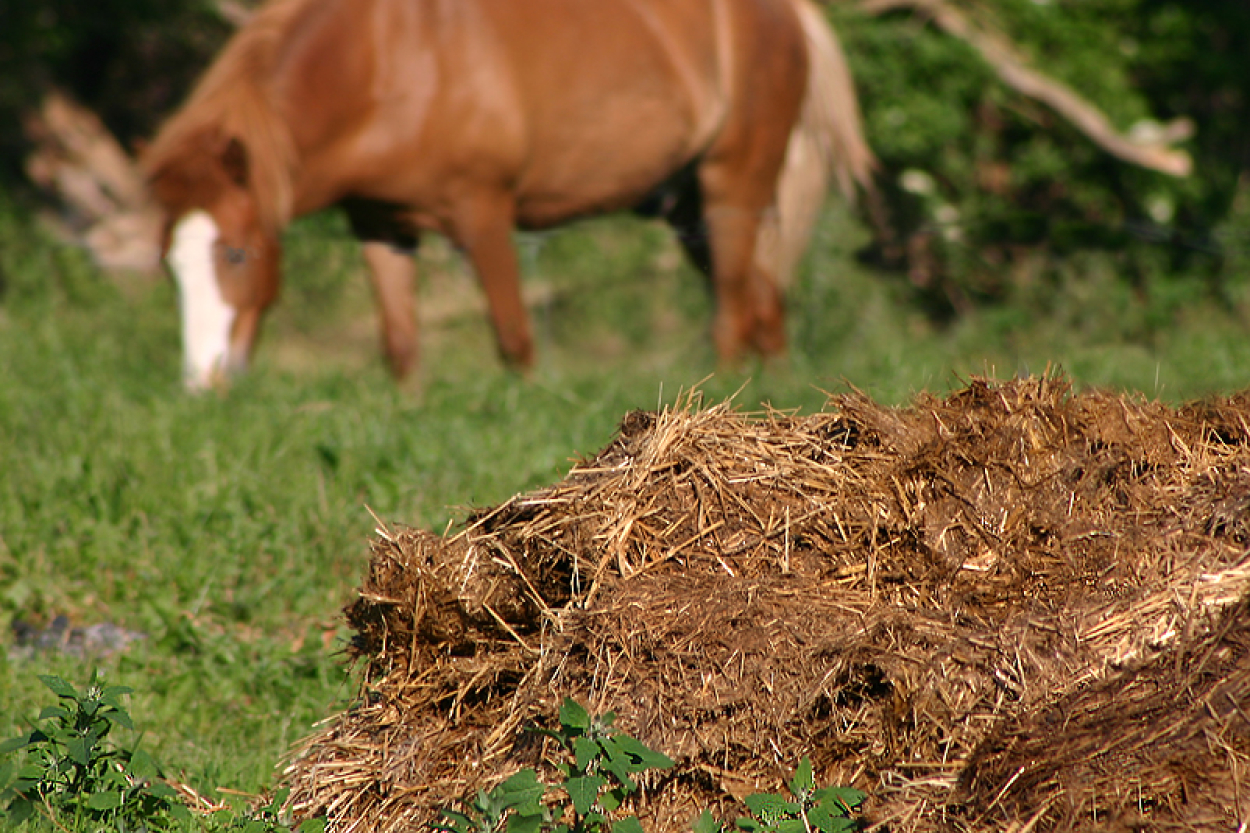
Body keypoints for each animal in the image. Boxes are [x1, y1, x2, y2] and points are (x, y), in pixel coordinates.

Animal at [141, 0, 875, 387]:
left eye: (235, 254)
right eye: (170, 267)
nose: (203, 380)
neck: (384, 65)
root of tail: (789, 14)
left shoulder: (483, 212)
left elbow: (515, 338)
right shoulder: (381, 225)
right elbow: (401, 345)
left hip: (732, 186)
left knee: (731, 311)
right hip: (687, 208)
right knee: (763, 302)